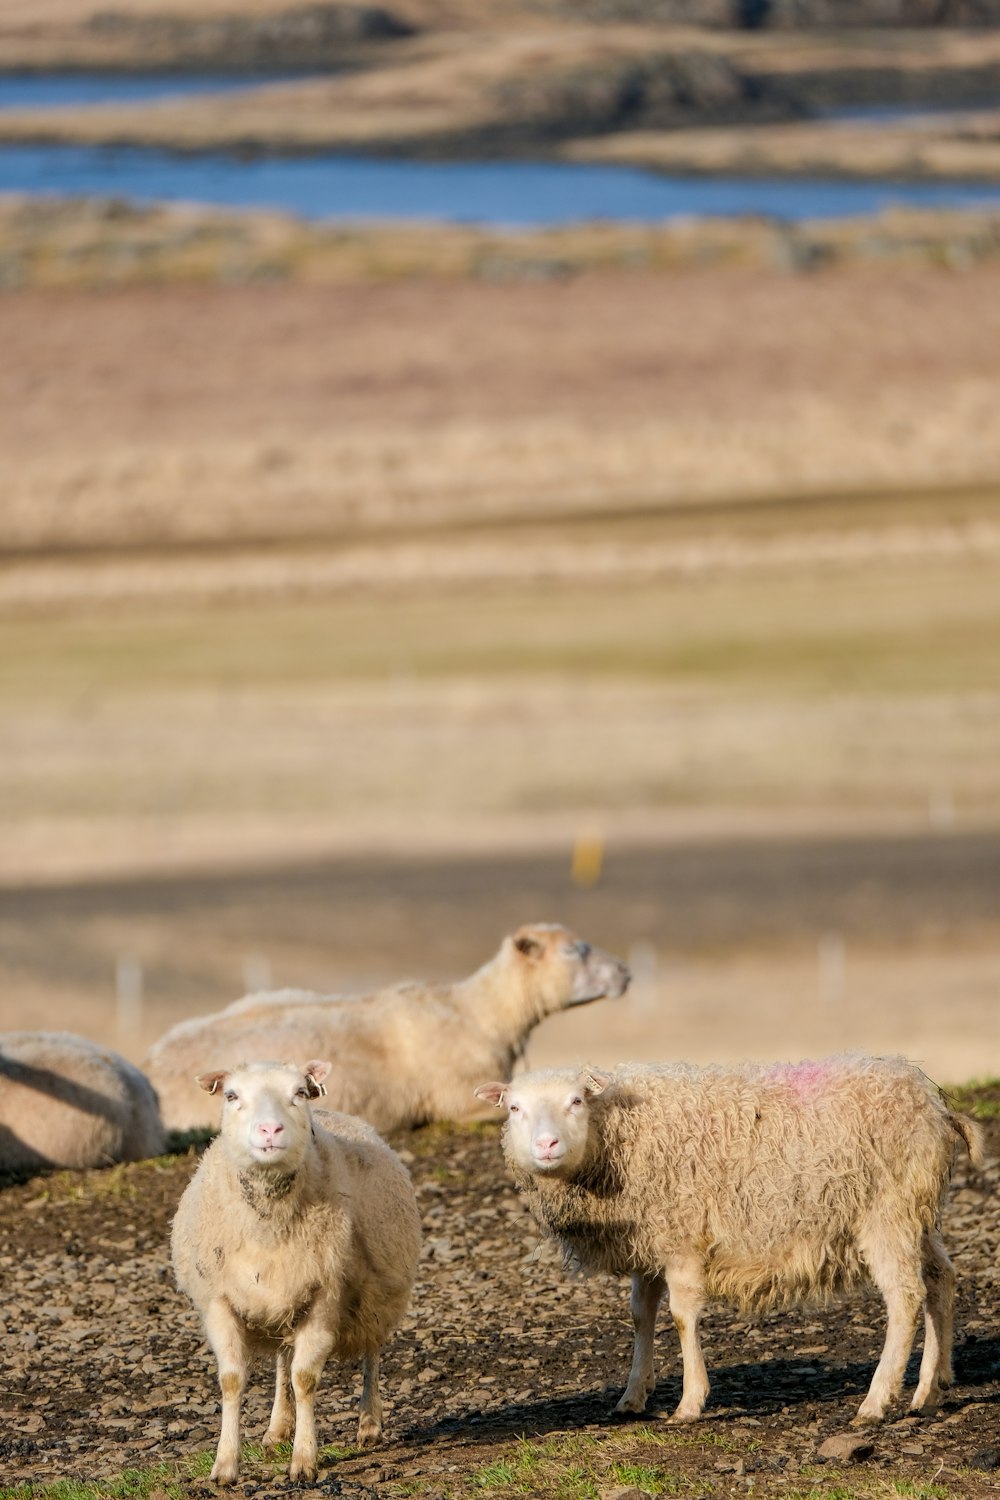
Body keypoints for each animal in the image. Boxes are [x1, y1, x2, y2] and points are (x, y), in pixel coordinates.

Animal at [172, 1062, 422, 1482]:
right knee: (282, 1362)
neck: (267, 1225)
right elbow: (232, 1381)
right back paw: (277, 1428)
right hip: (284, 1300)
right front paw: (225, 1464)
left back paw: (369, 1422)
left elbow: (304, 1379)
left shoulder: (324, 1296)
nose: (270, 1130)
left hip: (375, 1292)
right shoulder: (220, 1302)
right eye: (231, 1095)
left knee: (370, 1352)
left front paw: (304, 1460)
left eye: (299, 1093)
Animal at [476, 1056, 983, 1428]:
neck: (619, 1138)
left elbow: (682, 1317)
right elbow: (640, 1314)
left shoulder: (681, 1236)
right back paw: (930, 1389)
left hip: (887, 1212)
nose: (546, 1145)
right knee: (940, 1280)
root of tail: (935, 1104)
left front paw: (689, 1403)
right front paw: (633, 1395)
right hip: (916, 1213)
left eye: (577, 1100)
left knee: (905, 1296)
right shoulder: (649, 1241)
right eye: (514, 1108)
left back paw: (877, 1401)